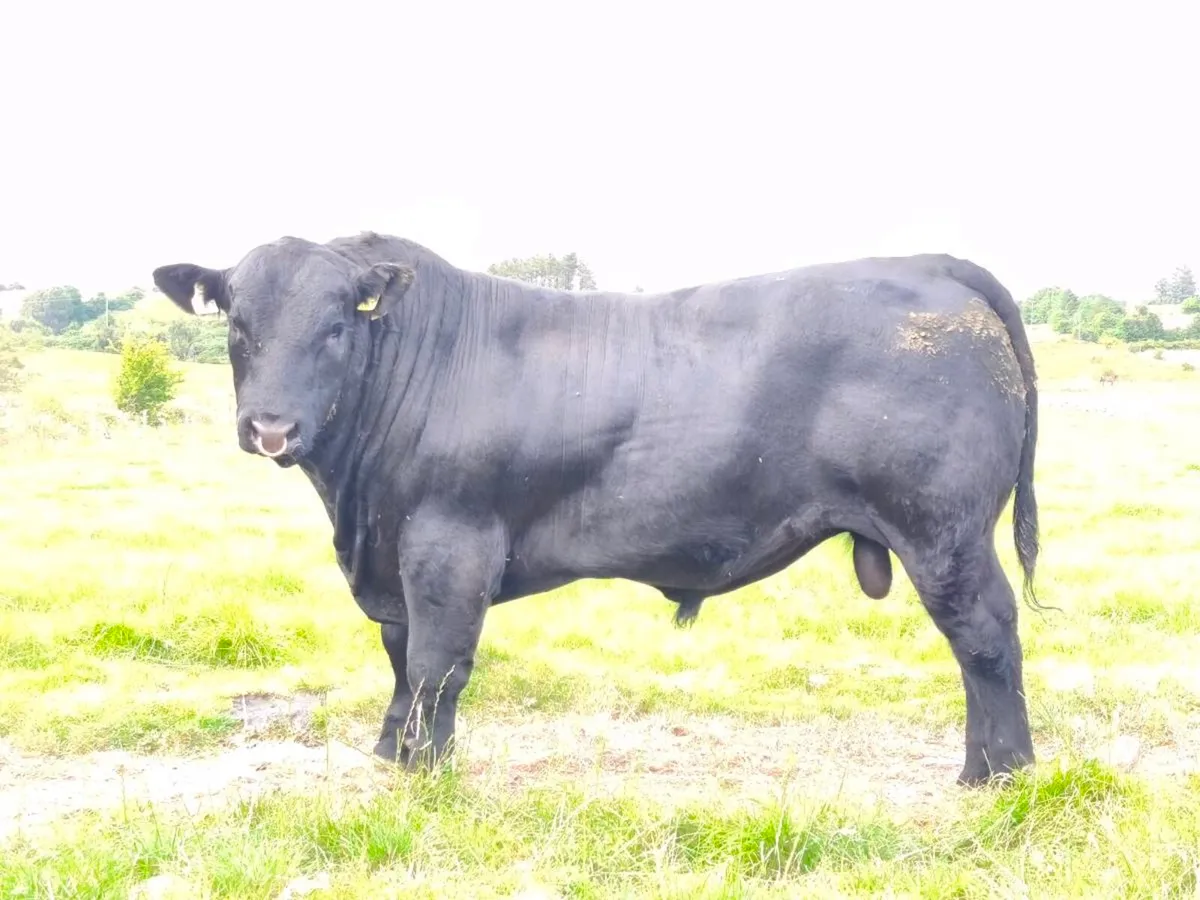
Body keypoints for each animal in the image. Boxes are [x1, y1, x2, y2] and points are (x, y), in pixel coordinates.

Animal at [153, 232, 1042, 787]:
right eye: (237, 323)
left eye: (337, 326)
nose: (270, 426)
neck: (355, 502)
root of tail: (935, 264)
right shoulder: (392, 562)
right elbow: (401, 662)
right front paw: (390, 756)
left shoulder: (449, 544)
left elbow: (438, 666)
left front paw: (427, 772)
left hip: (945, 533)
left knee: (985, 638)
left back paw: (998, 773)